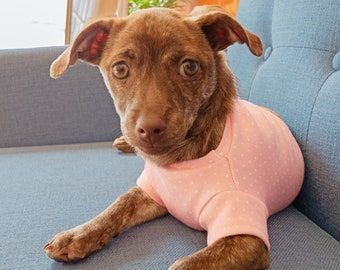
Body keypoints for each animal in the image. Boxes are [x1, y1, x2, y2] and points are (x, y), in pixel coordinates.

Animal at [44, 5, 302, 268]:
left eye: (190, 67)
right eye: (120, 69)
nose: (149, 129)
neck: (181, 157)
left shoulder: (245, 235)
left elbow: (183, 264)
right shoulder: (153, 193)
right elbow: (120, 203)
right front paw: (79, 234)